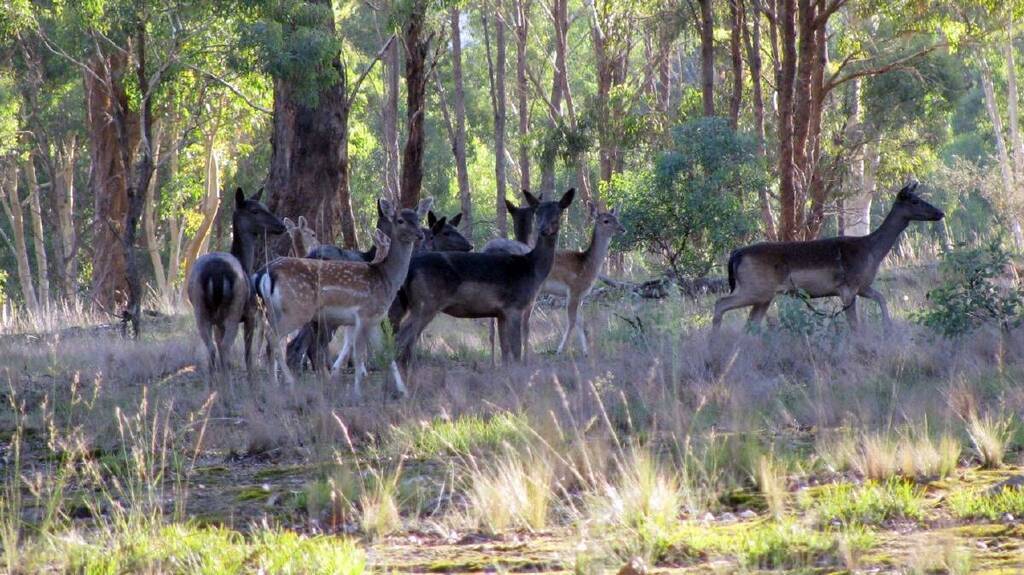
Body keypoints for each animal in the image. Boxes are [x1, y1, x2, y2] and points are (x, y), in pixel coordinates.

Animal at [187, 187, 286, 372]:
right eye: (255, 210)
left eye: (265, 207)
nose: (281, 225)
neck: (245, 263)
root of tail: (215, 273)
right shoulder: (251, 314)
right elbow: (248, 357)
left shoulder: (218, 323)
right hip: (234, 308)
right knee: (225, 347)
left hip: (200, 309)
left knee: (212, 349)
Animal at [254, 198, 432, 396]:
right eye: (400, 220)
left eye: (418, 218)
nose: (420, 235)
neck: (386, 278)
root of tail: (266, 274)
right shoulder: (364, 314)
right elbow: (359, 355)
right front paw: (357, 392)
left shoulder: (375, 319)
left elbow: (386, 353)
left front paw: (403, 391)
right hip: (297, 309)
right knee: (276, 338)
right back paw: (290, 382)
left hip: (273, 310)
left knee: (272, 342)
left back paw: (273, 384)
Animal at [392, 189, 575, 378]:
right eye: (537, 212)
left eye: (558, 212)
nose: (544, 229)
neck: (532, 270)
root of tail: (410, 268)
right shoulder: (515, 306)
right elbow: (516, 350)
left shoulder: (501, 312)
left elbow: (505, 348)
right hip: (426, 303)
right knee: (402, 338)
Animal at [540, 205, 625, 355]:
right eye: (606, 221)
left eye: (617, 218)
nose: (623, 229)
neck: (588, 265)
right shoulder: (574, 290)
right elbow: (572, 321)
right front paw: (559, 350)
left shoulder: (581, 295)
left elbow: (580, 320)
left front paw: (586, 351)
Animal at [712, 181, 944, 333]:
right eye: (914, 200)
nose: (940, 212)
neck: (872, 252)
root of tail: (736, 254)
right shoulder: (847, 287)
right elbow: (855, 324)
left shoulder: (862, 286)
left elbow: (881, 297)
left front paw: (888, 327)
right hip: (754, 289)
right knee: (720, 303)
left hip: (763, 295)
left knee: (749, 323)